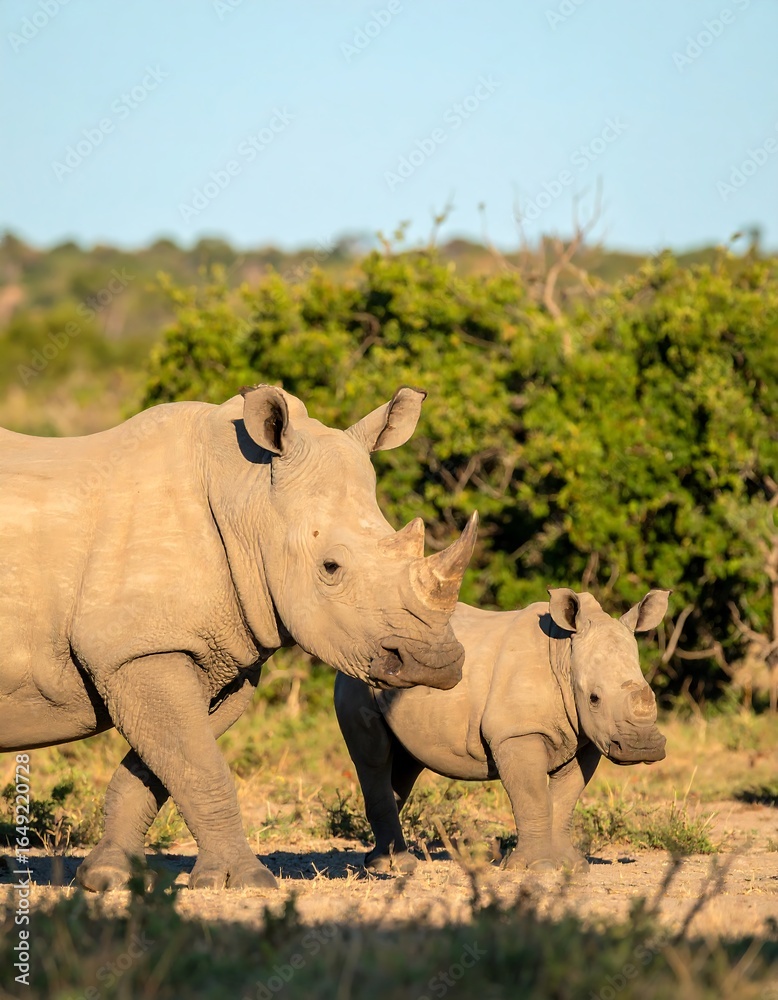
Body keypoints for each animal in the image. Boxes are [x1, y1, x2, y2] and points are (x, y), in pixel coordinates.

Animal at [0, 385, 478, 891]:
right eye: (330, 567)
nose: (437, 663)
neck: (247, 498)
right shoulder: (137, 651)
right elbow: (201, 766)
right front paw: (246, 881)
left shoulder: (212, 653)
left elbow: (164, 766)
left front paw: (110, 877)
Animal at [335, 588, 669, 873]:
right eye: (594, 698)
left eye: (651, 692)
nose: (642, 747)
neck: (564, 655)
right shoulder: (517, 733)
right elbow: (533, 798)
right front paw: (536, 868)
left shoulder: (585, 739)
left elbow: (565, 799)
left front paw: (572, 866)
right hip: (358, 674)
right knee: (374, 758)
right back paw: (392, 867)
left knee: (405, 764)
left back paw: (384, 862)